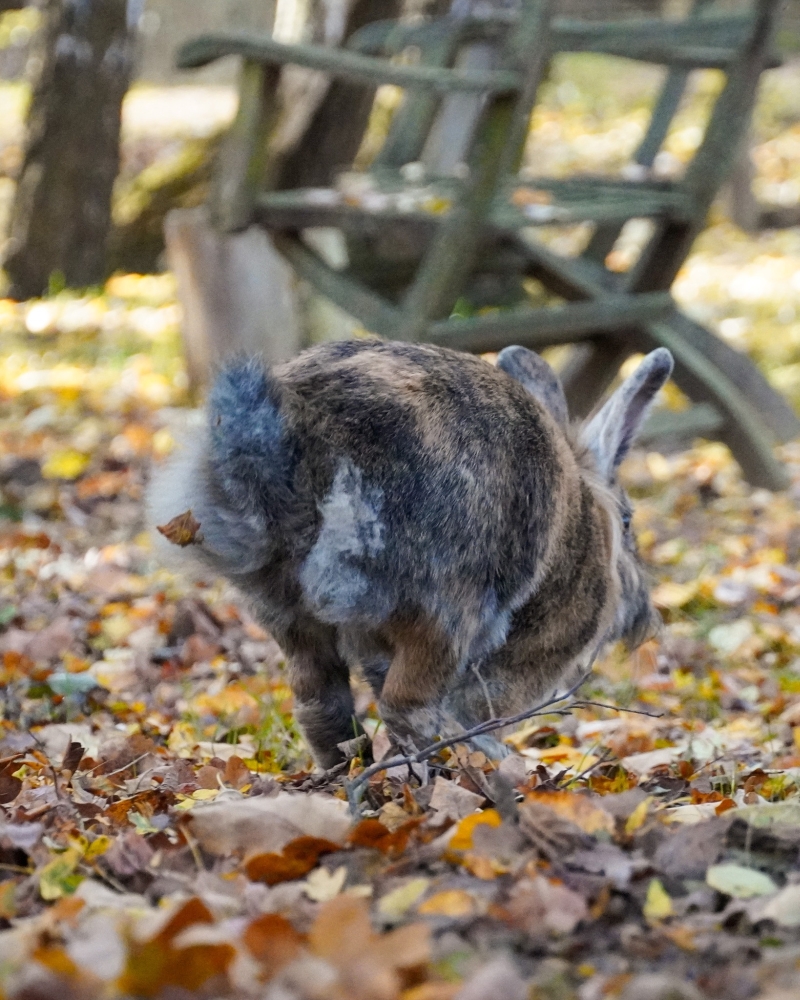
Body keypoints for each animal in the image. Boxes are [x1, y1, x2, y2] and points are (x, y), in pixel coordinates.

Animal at [149, 338, 673, 769]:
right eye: (628, 523)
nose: (644, 618)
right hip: (444, 612)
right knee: (409, 708)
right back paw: (481, 766)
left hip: (289, 616)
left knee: (321, 706)